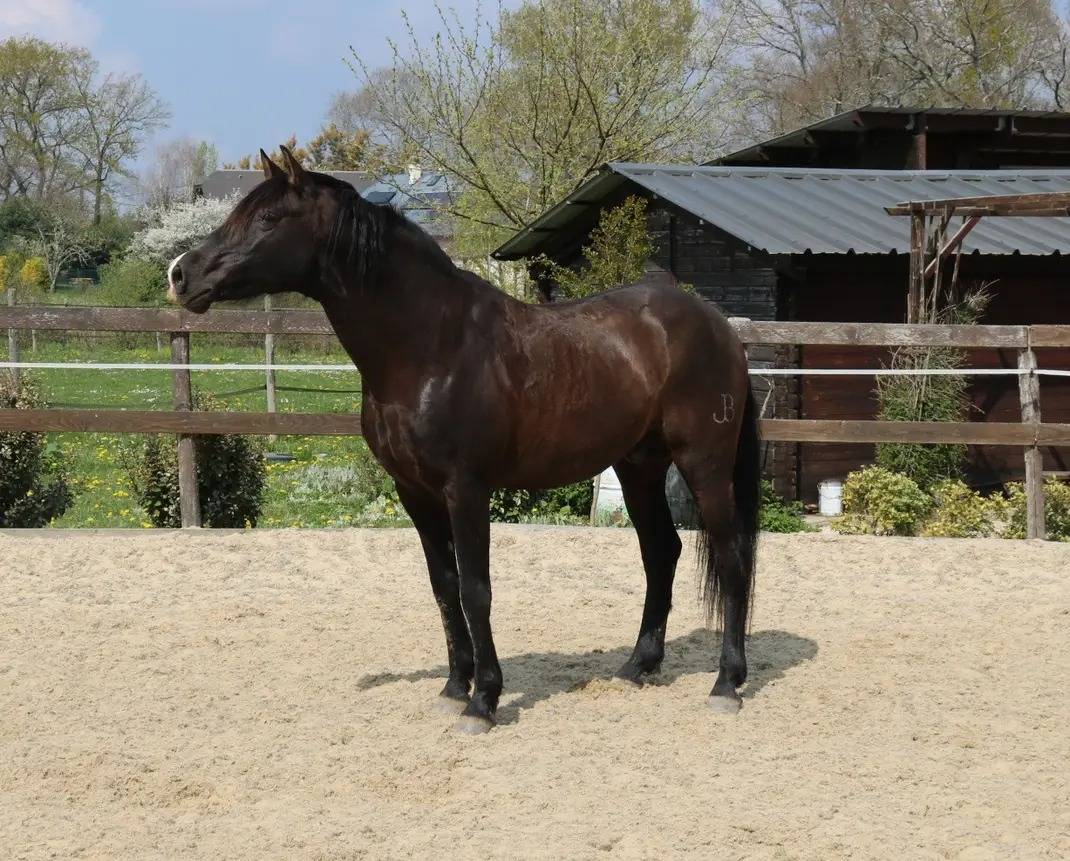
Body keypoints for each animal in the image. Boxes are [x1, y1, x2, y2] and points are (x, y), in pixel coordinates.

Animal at [168, 146, 760, 734]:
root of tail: (717, 324)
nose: (180, 274)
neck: (431, 349)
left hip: (704, 464)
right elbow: (445, 589)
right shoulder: (415, 493)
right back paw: (638, 666)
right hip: (638, 467)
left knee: (731, 558)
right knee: (661, 552)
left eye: (268, 218)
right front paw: (455, 688)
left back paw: (726, 683)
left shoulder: (466, 489)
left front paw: (484, 701)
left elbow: (476, 591)